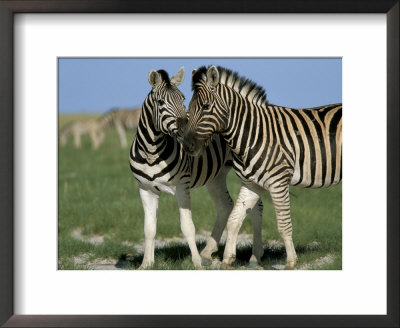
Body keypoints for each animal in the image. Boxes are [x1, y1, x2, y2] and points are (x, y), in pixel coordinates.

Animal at [130, 66, 264, 270]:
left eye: (183, 98)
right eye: (160, 102)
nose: (186, 133)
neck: (151, 152)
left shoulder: (181, 186)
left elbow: (187, 227)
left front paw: (196, 264)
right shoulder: (145, 189)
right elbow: (149, 229)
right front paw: (146, 264)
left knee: (256, 208)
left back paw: (255, 256)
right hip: (216, 175)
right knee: (225, 206)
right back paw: (208, 252)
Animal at [183, 64, 342, 270]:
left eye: (205, 107)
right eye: (188, 107)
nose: (187, 145)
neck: (253, 135)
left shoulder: (278, 182)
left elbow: (283, 224)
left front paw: (291, 262)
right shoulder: (251, 184)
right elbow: (234, 219)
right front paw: (227, 259)